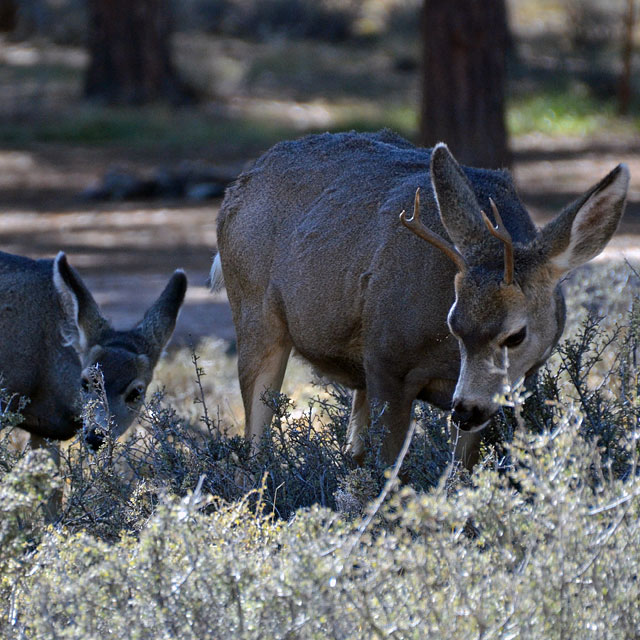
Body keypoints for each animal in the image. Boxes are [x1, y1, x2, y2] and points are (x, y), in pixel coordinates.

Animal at [211, 131, 632, 470]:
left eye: (516, 336)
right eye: (454, 324)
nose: (465, 408)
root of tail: (237, 187)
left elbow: (460, 471)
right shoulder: (386, 360)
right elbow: (387, 468)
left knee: (349, 451)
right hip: (255, 315)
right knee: (255, 444)